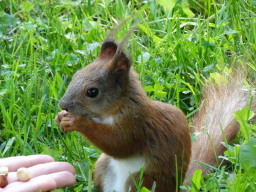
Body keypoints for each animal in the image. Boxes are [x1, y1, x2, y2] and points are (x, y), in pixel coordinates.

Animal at [55, 28, 255, 192]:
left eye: (92, 92)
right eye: (76, 75)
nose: (63, 104)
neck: (112, 111)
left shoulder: (135, 124)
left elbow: (117, 143)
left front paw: (77, 122)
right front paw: (60, 117)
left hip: (141, 180)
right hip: (103, 166)